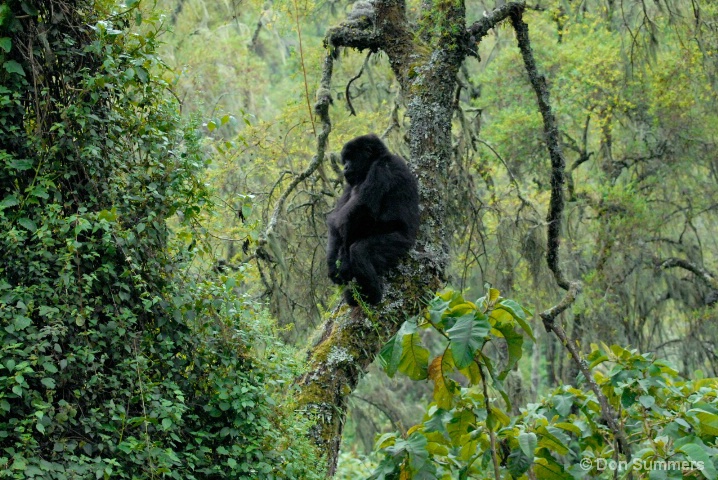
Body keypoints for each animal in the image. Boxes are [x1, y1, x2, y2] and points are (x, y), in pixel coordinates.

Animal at [328, 133, 422, 304]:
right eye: (345, 160)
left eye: (351, 158)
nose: (345, 167)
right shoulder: (350, 185)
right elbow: (335, 220)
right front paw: (332, 263)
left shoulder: (381, 168)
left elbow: (364, 210)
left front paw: (344, 262)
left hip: (402, 242)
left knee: (360, 251)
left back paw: (371, 294)